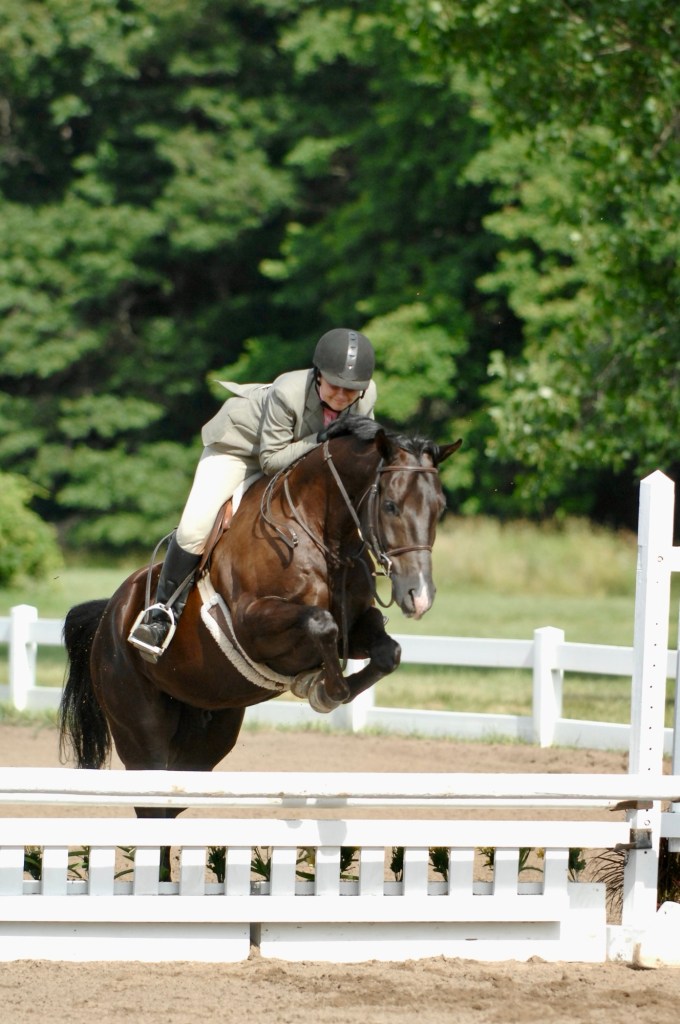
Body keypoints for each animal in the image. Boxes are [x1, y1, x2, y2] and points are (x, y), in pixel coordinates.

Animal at [59, 416, 461, 811]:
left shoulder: (357, 627)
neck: (322, 534)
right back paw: (152, 630)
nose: (419, 596)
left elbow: (387, 651)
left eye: (439, 508)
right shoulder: (251, 626)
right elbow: (321, 623)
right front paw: (321, 688)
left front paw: (322, 686)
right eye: (391, 505)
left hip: (206, 732)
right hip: (139, 727)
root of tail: (109, 616)